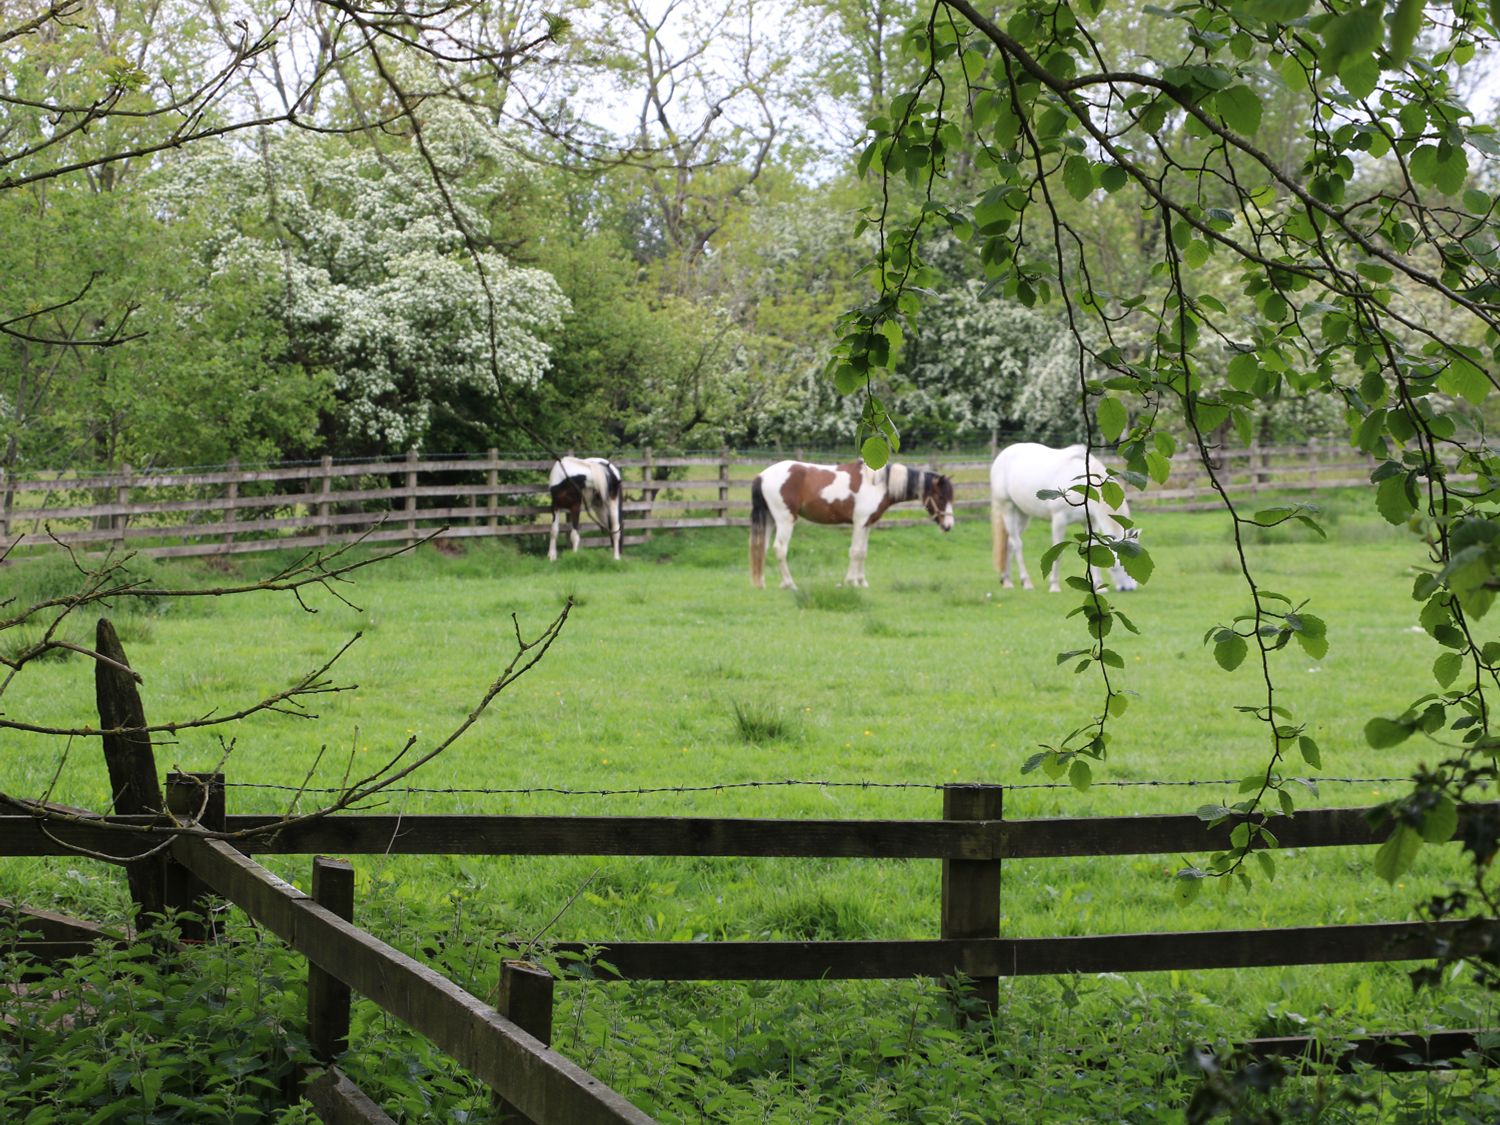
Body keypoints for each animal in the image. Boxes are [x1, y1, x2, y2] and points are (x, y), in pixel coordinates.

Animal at [747, 459, 954, 594]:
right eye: (940, 497)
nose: (949, 526)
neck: (878, 483)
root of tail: (761, 476)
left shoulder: (867, 524)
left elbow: (863, 552)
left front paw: (861, 582)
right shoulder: (859, 523)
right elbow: (855, 552)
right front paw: (851, 582)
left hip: (769, 520)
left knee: (761, 548)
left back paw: (761, 584)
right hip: (785, 520)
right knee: (780, 549)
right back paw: (789, 584)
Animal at [996, 444, 1134, 594]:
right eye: (1119, 564)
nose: (1128, 588)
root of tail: (1003, 454)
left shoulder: (1090, 522)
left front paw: (1098, 587)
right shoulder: (1059, 520)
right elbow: (1058, 553)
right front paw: (1054, 586)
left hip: (1023, 515)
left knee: (1010, 543)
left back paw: (1007, 581)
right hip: (1008, 508)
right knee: (1017, 544)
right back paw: (1026, 582)